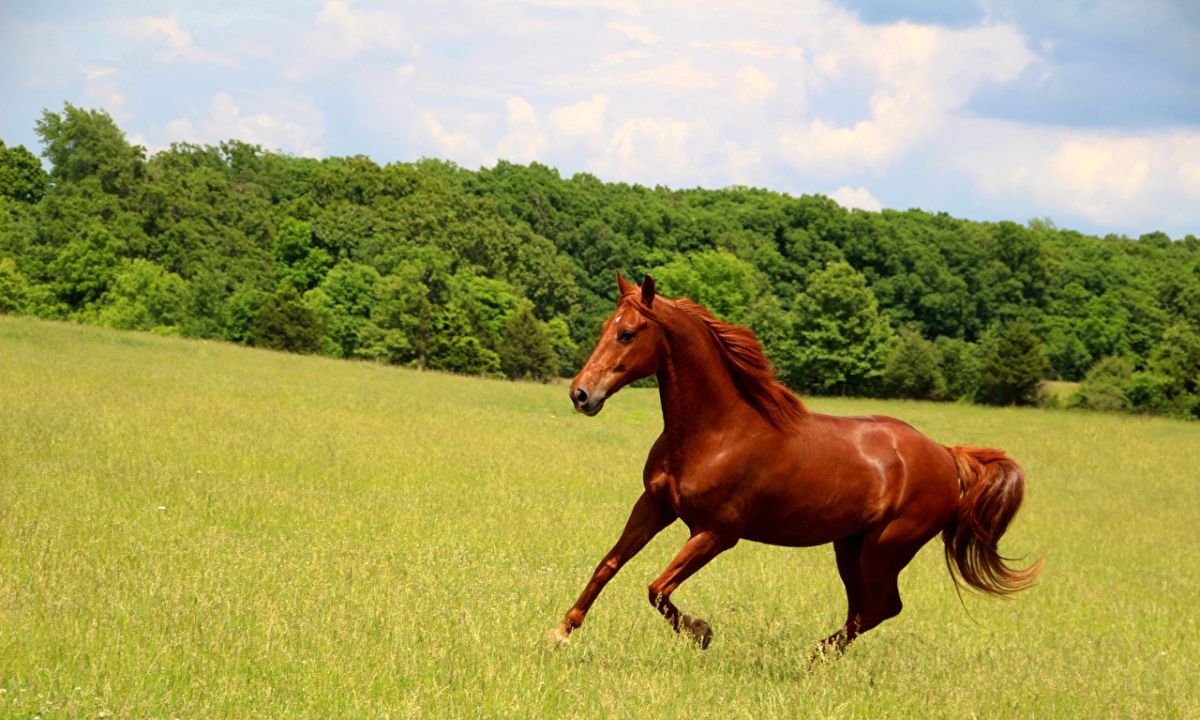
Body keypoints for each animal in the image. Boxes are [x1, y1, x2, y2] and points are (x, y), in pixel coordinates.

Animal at [552, 271, 1041, 652]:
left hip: (886, 549)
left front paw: (702, 631)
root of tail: (945, 454)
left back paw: (814, 655)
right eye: (605, 326)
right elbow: (608, 565)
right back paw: (818, 656)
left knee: (883, 607)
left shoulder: (716, 533)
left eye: (628, 333)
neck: (717, 432)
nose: (581, 394)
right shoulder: (654, 506)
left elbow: (657, 588)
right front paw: (562, 631)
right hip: (851, 547)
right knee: (866, 608)